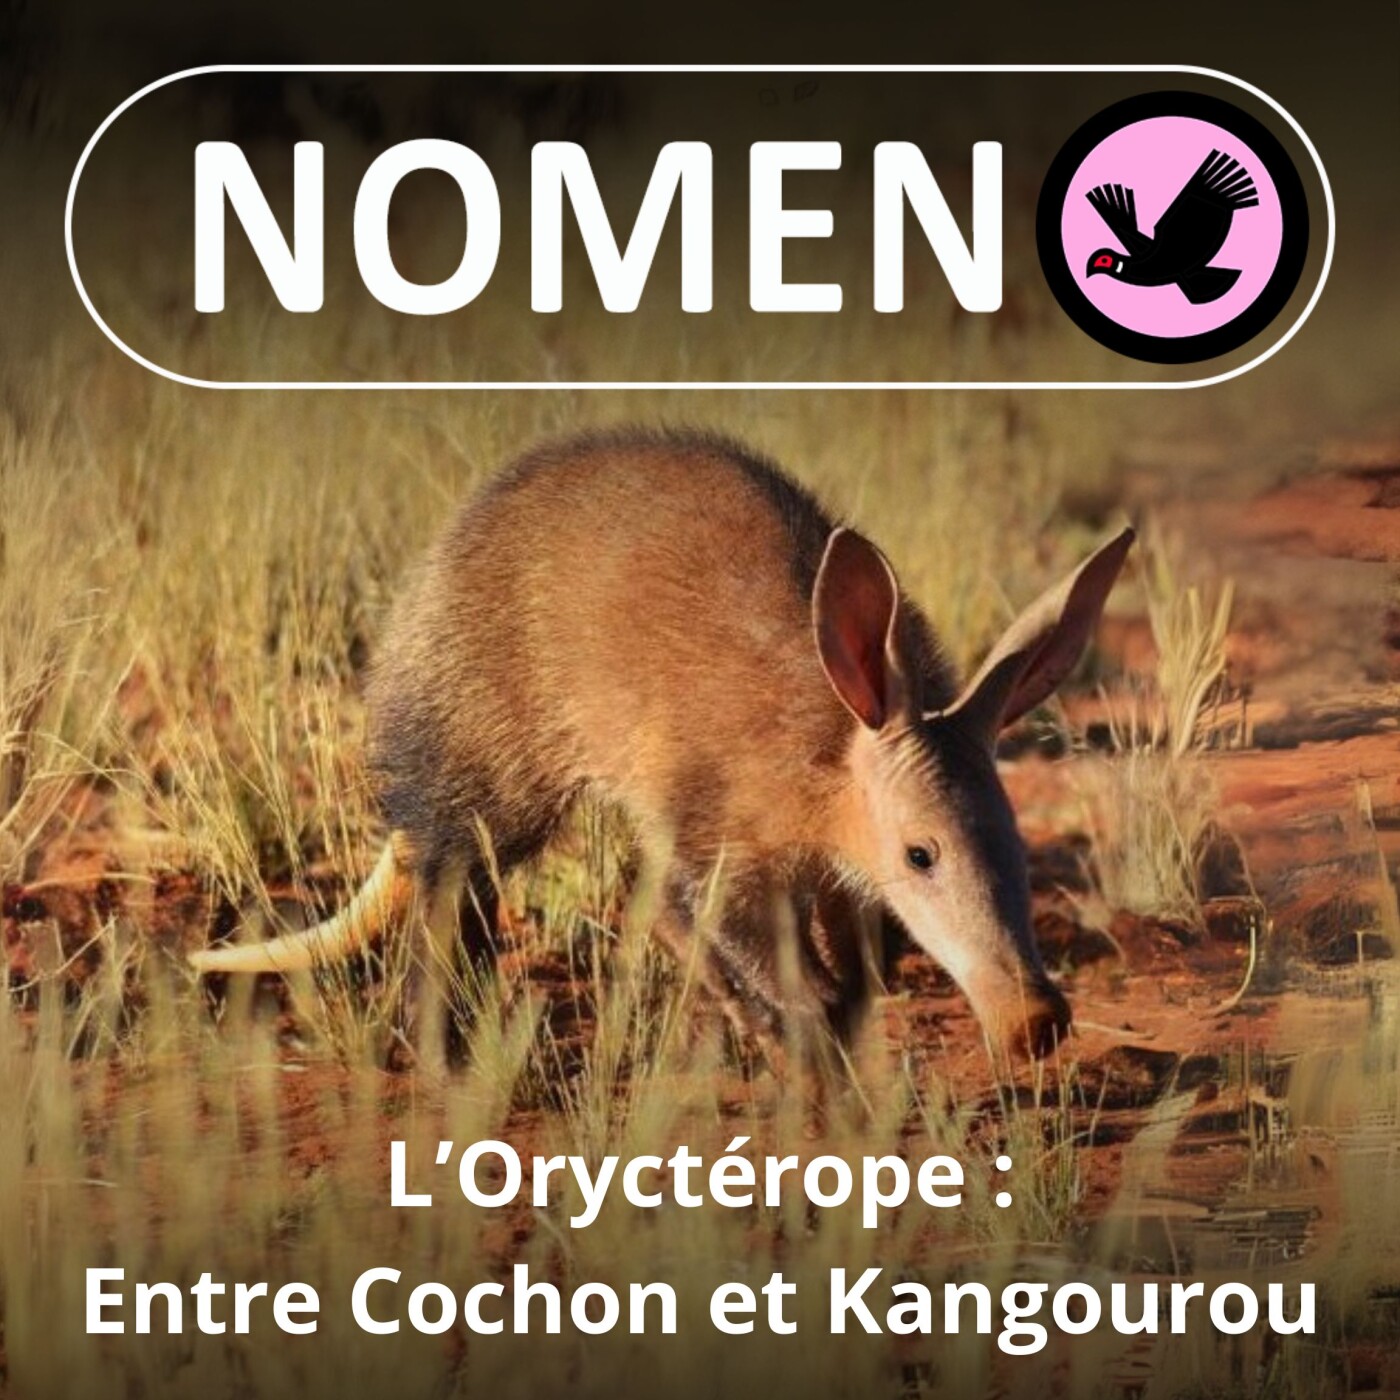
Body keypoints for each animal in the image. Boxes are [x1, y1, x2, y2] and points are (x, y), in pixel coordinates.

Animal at [190, 428, 1132, 1059]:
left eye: (1017, 843)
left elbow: (857, 965)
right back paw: (430, 1048)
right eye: (921, 855)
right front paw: (801, 1037)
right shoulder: (719, 824)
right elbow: (711, 919)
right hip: (493, 758)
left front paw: (822, 1031)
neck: (830, 757)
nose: (1034, 1022)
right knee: (459, 882)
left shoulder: (833, 875)